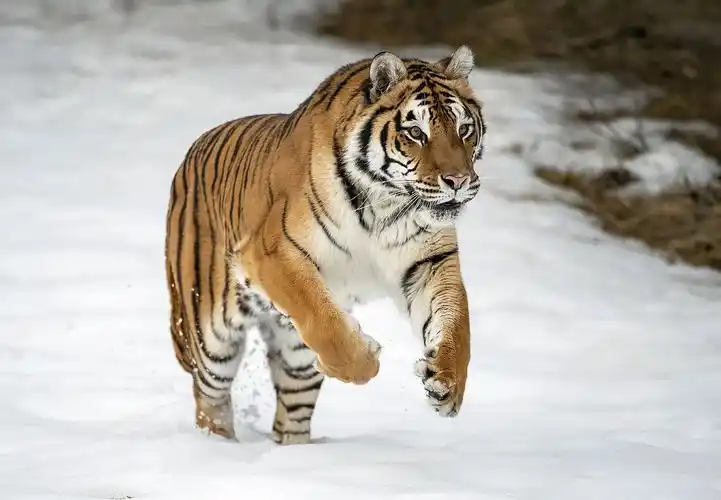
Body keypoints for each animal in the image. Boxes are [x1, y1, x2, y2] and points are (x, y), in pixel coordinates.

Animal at [164, 45, 486, 445]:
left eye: (464, 129)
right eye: (416, 132)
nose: (458, 181)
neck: (386, 202)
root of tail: (192, 150)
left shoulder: (429, 262)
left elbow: (456, 323)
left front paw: (447, 384)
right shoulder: (274, 251)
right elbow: (323, 320)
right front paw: (367, 359)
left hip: (296, 358)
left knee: (292, 412)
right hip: (209, 334)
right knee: (210, 396)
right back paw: (218, 446)